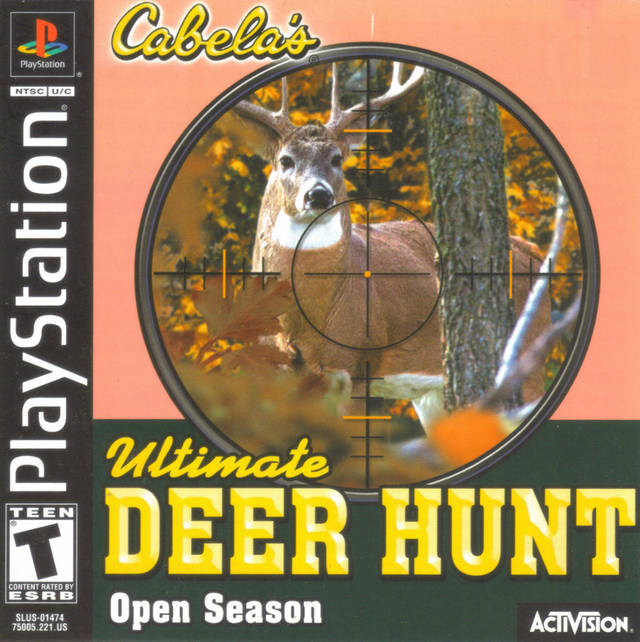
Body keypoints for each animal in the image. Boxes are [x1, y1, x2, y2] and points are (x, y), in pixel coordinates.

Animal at [233, 62, 551, 432]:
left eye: (337, 158)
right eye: (285, 160)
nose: (318, 195)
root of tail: (534, 253)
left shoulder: (354, 365)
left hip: (530, 353)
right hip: (432, 394)